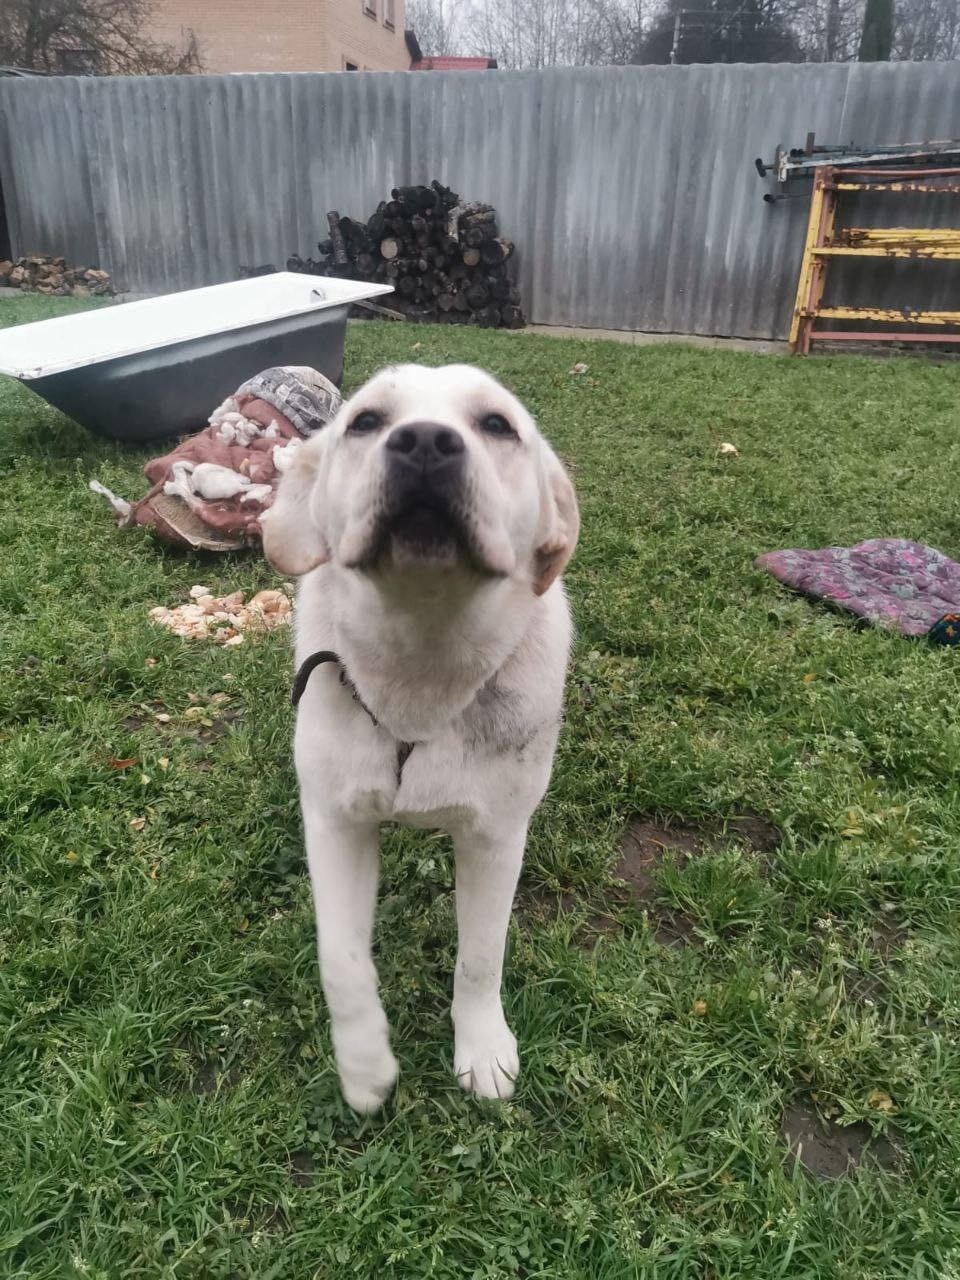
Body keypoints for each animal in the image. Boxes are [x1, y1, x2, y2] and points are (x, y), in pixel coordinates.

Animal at [261, 364, 578, 1111]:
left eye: (496, 425)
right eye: (366, 422)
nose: (427, 443)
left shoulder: (495, 836)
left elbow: (480, 957)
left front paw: (482, 1049)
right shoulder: (335, 821)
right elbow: (340, 960)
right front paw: (364, 1067)